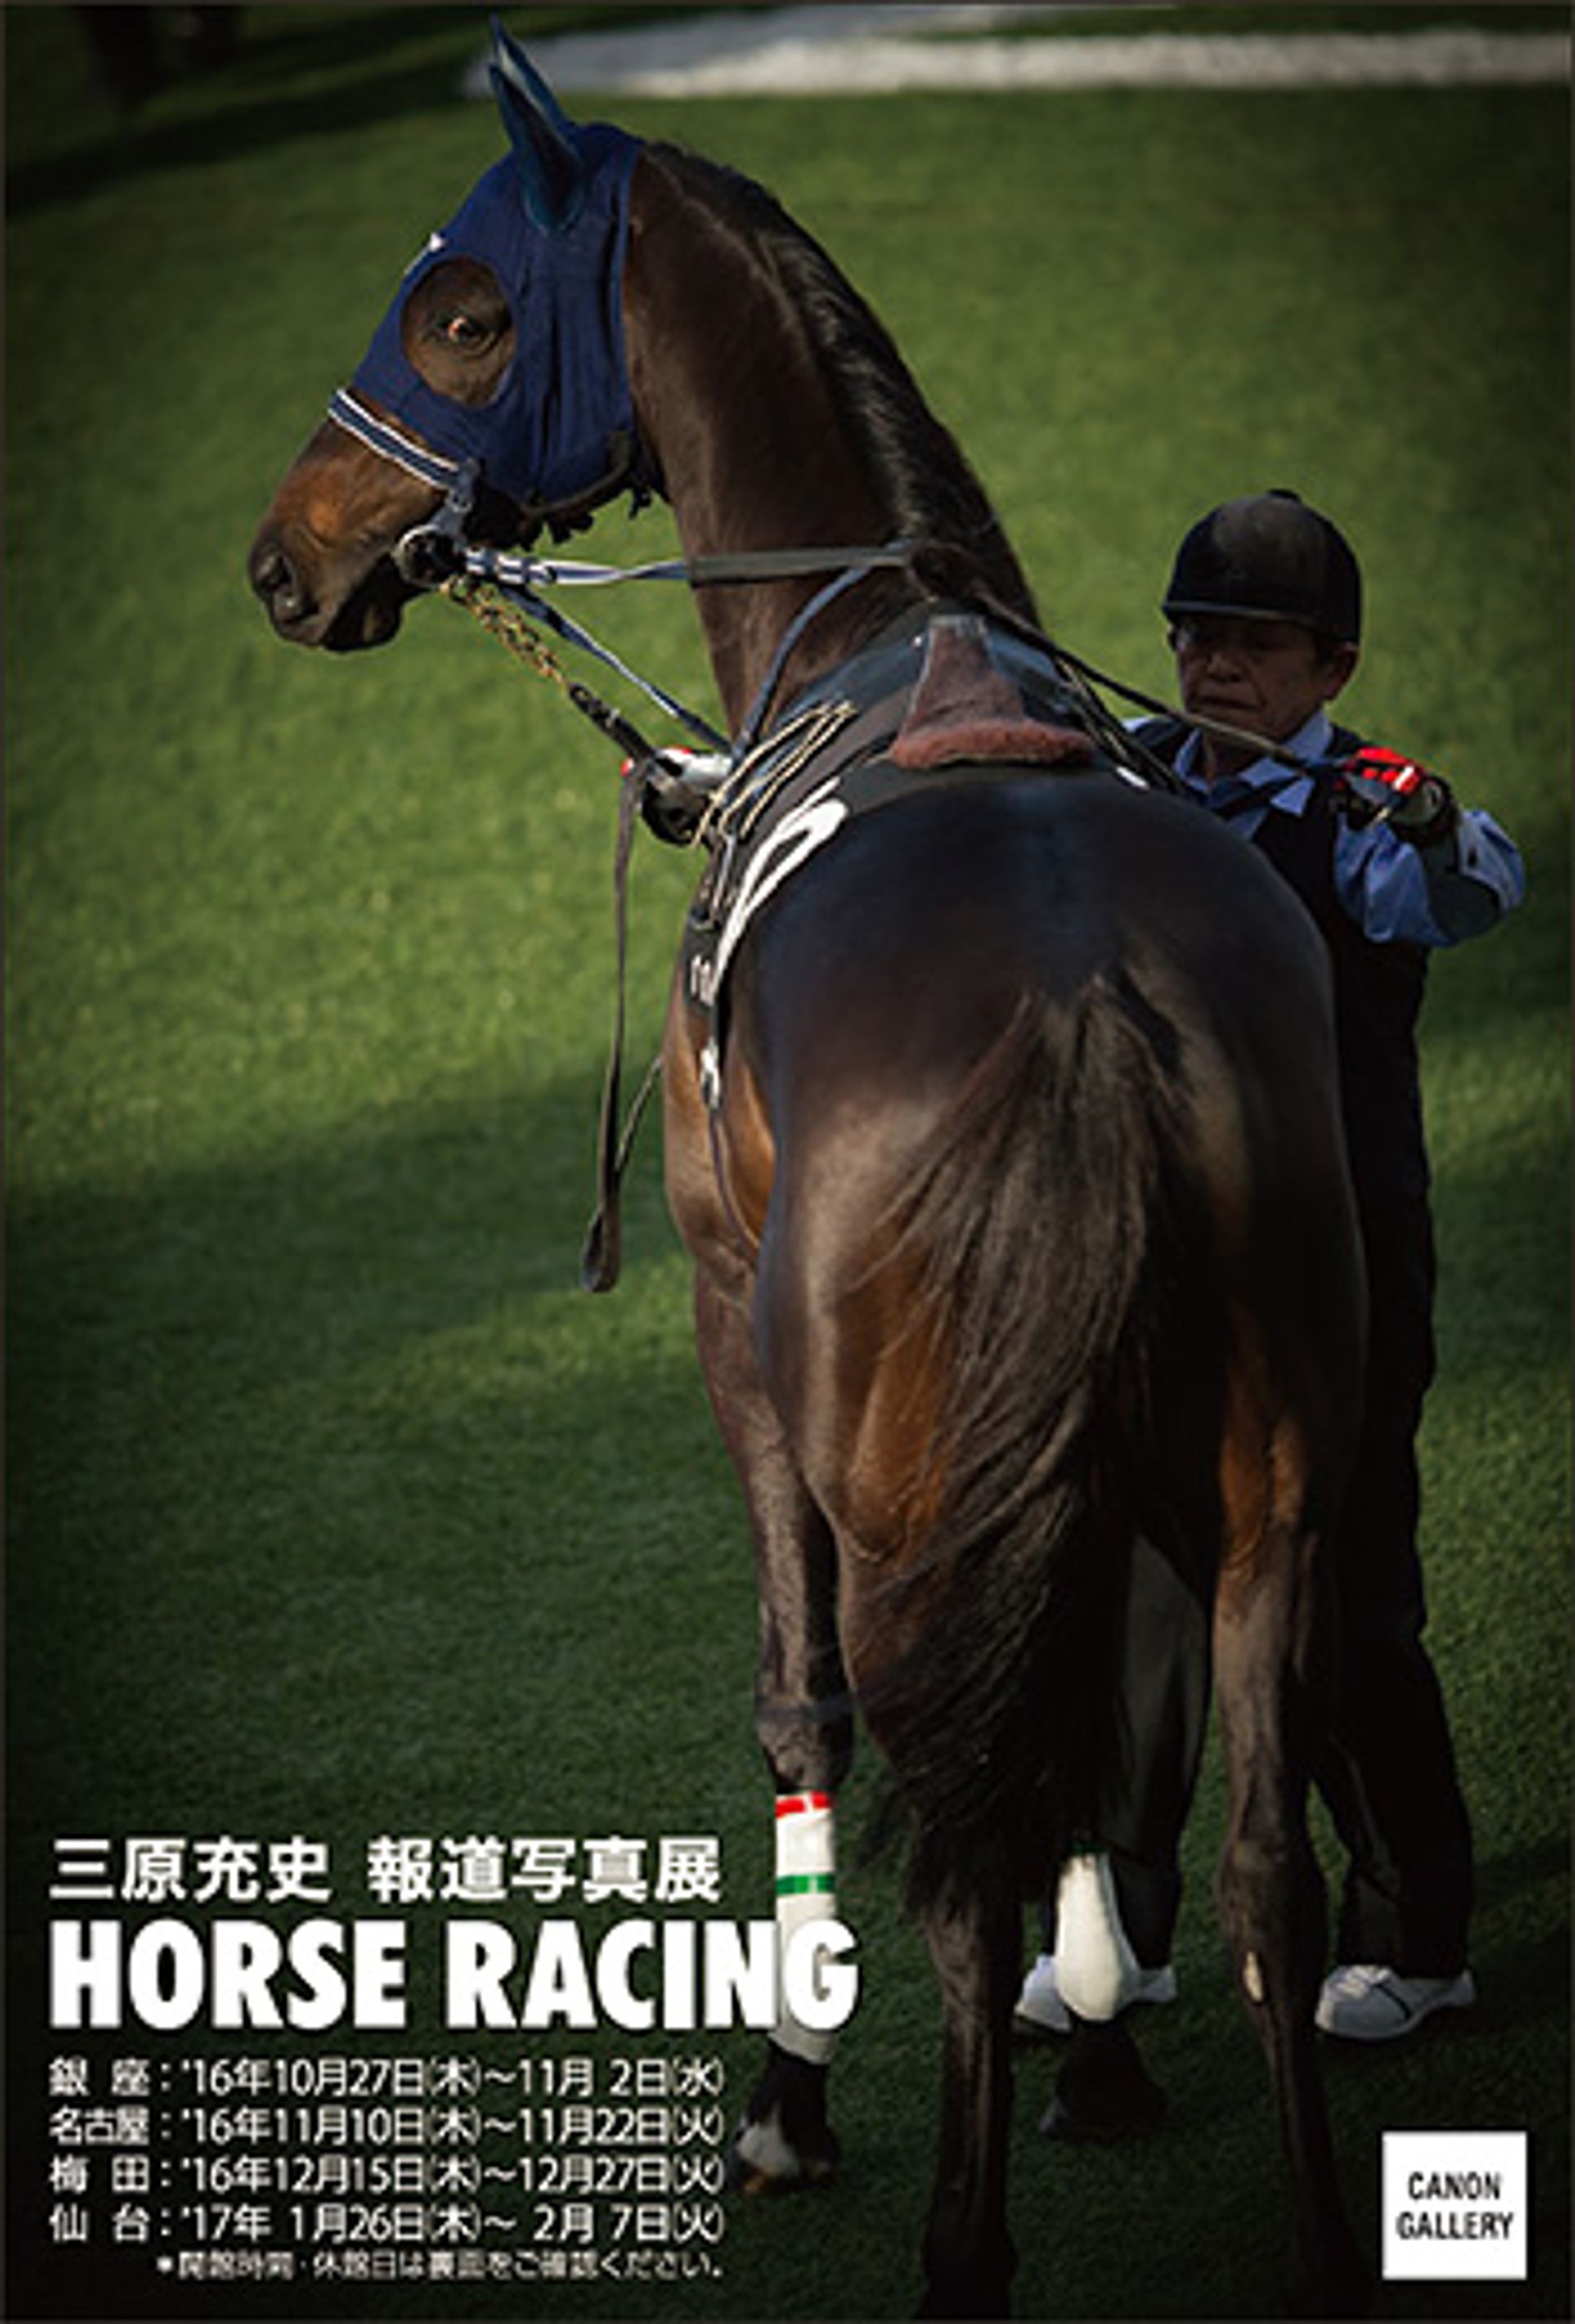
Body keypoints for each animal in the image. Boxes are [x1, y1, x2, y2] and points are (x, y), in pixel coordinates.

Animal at [249, 30, 1368, 2317]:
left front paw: (792, 2098)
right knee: (1259, 1852)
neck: (893, 636)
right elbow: (1106, 1731)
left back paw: (954, 2237)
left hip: (902, 1458)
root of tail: (1088, 1006)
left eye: (461, 312)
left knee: (950, 1826)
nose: (288, 553)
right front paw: (1102, 2042)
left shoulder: (726, 1325)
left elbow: (803, 1707)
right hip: (1268, 1460)